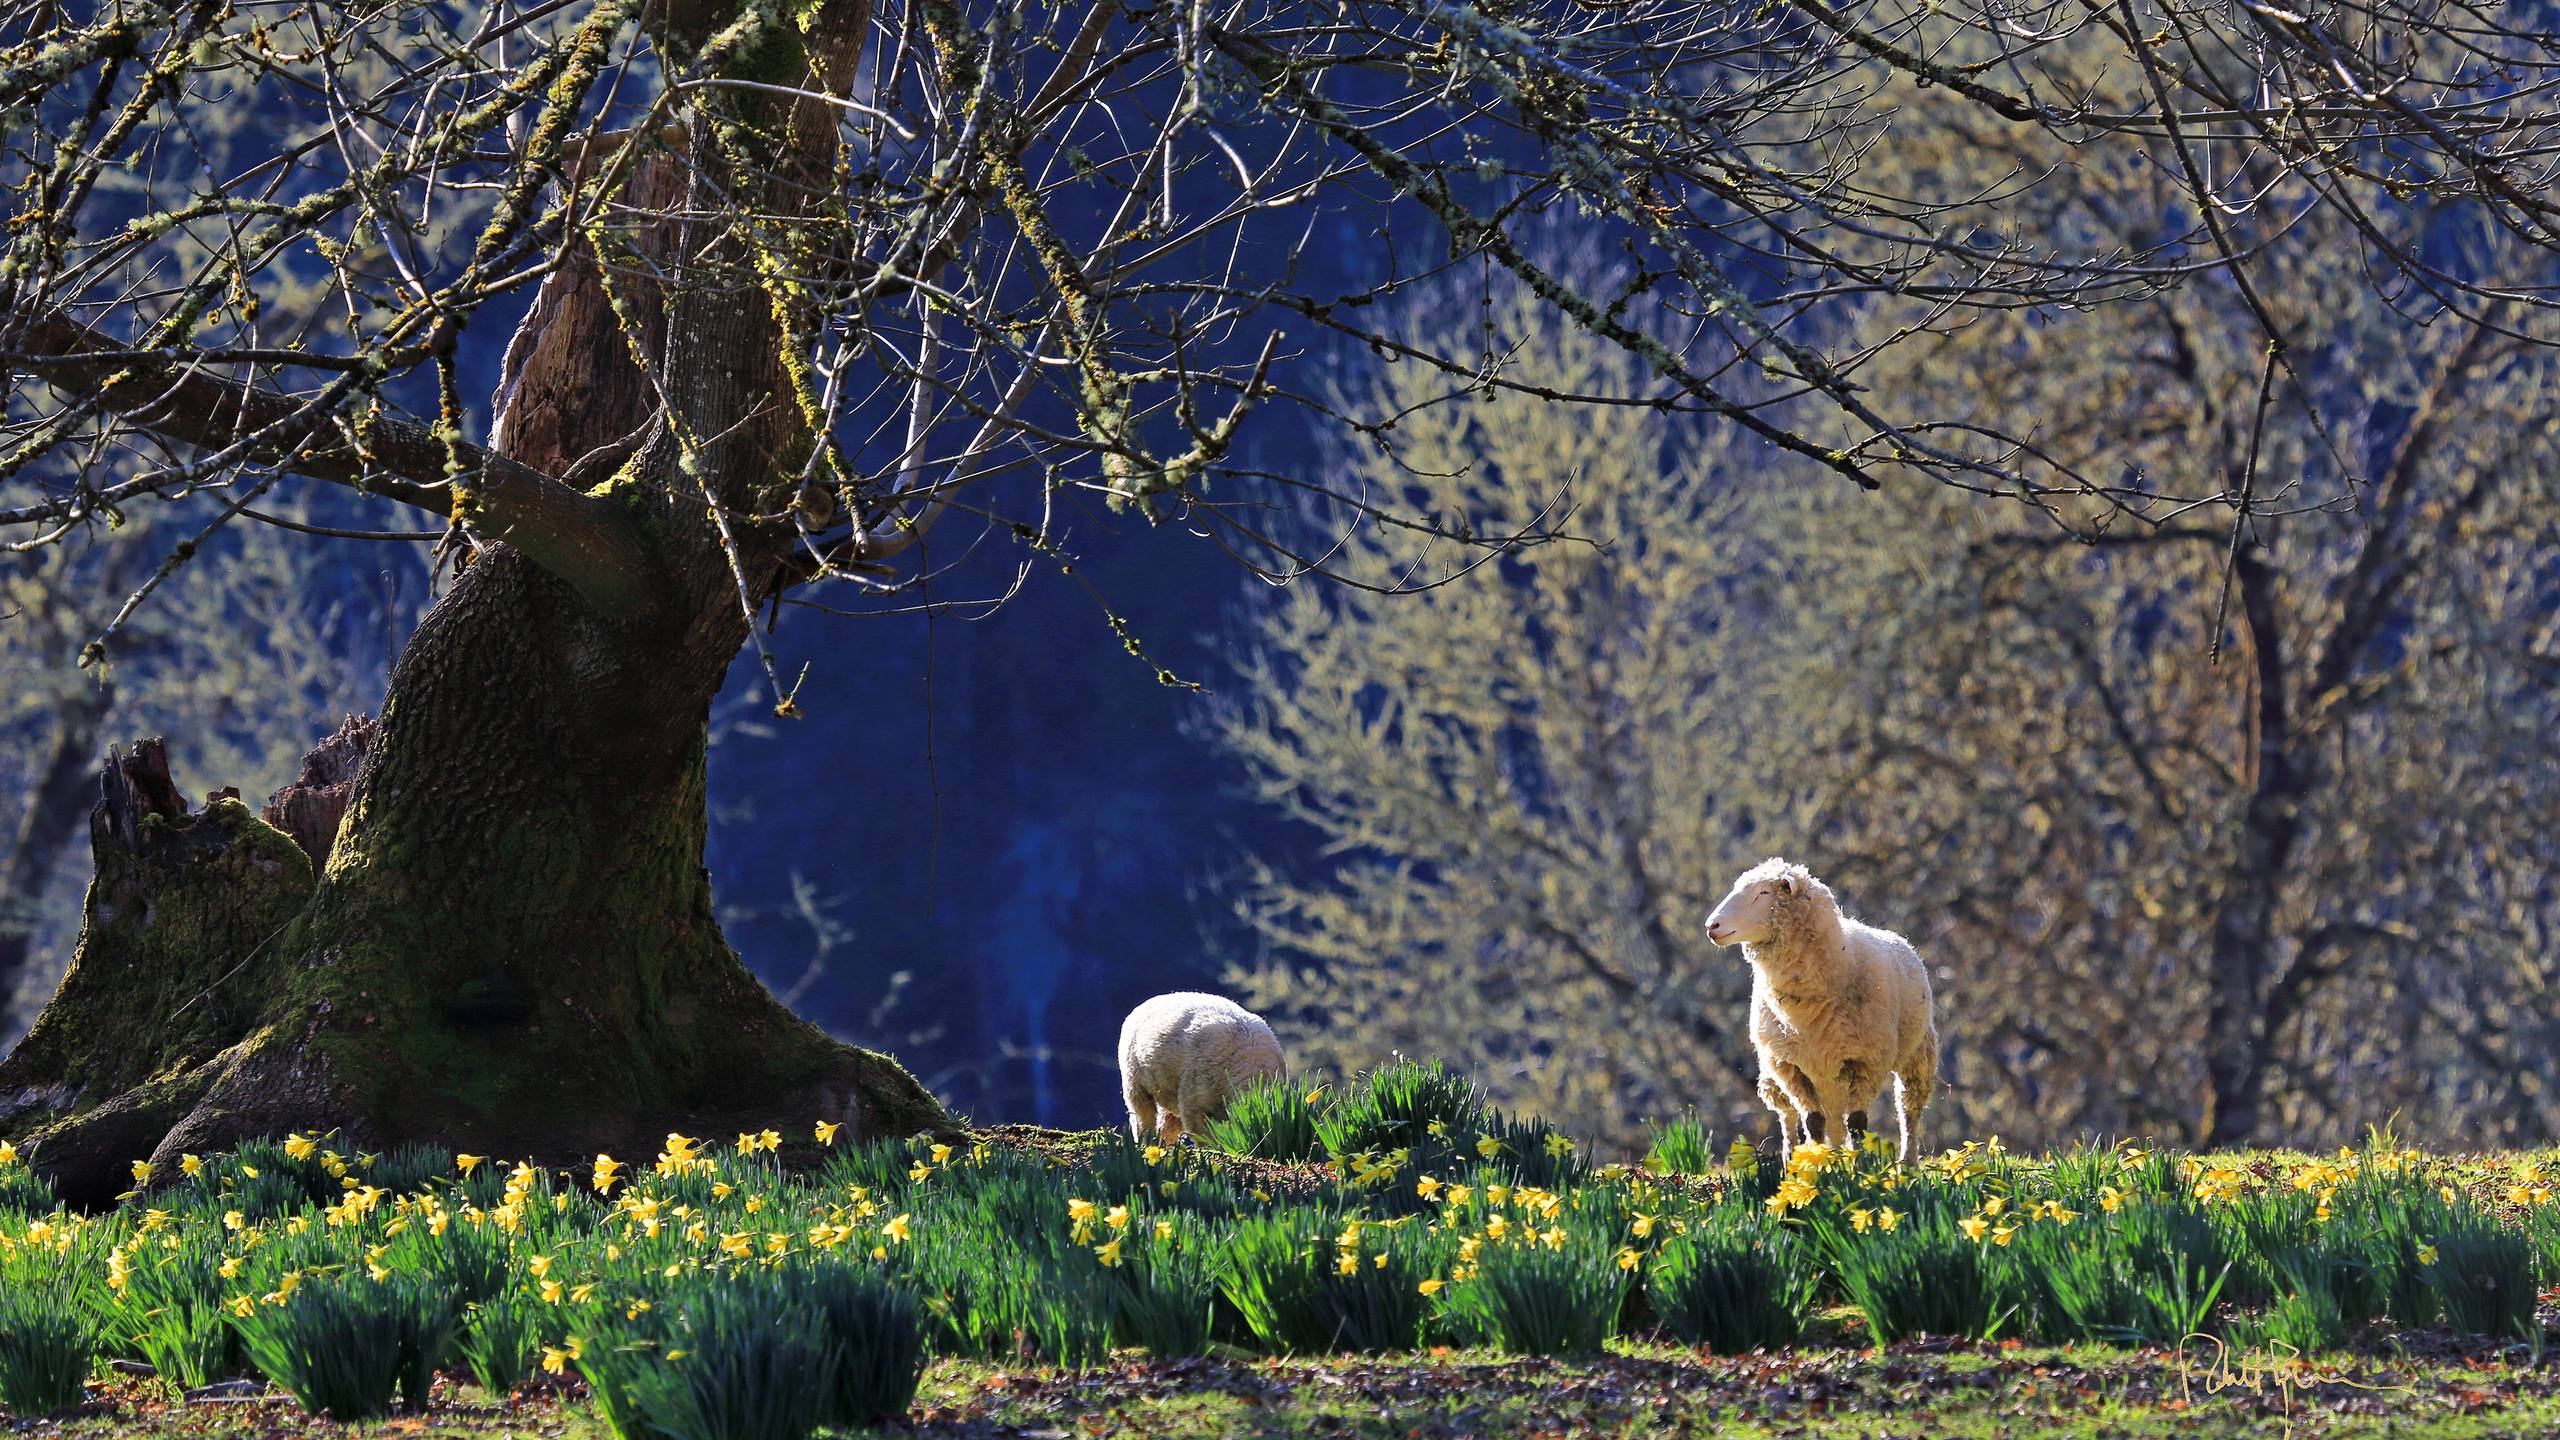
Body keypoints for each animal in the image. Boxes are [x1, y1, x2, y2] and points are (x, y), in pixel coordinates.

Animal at [1699, 855, 1935, 1158]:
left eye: (1763, 892)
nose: (1712, 926)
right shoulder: (1789, 1066)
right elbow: (1813, 1121)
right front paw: (1820, 1163)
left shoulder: (1869, 1061)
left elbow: (1857, 1122)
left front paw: (1858, 1165)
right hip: (1788, 1073)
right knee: (1793, 1116)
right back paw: (1794, 1156)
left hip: (1915, 1054)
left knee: (1908, 1109)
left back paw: (1907, 1161)